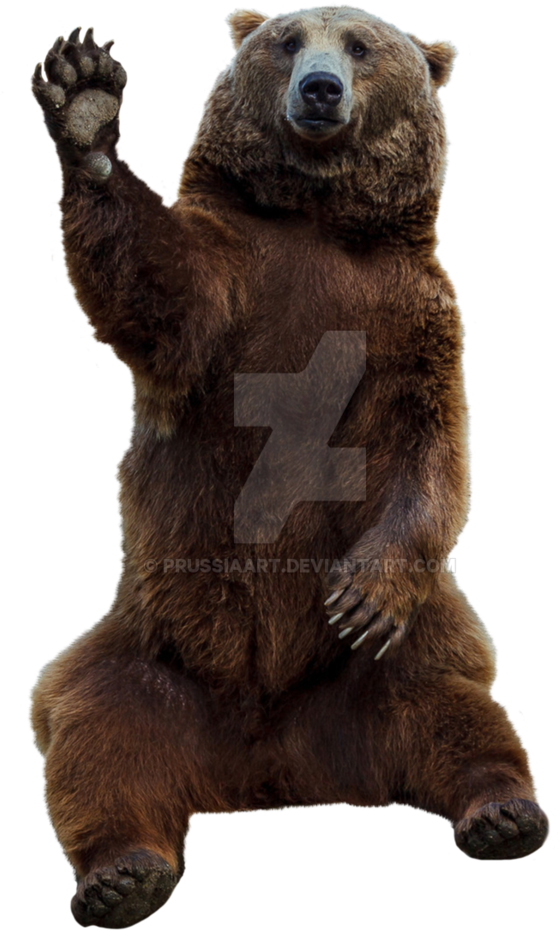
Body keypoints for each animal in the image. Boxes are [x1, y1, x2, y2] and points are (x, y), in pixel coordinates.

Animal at [29, 6, 550, 928]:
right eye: (287, 39)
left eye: (362, 46)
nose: (320, 89)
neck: (320, 221)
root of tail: (271, 771)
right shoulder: (237, 285)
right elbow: (160, 293)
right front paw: (85, 100)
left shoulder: (414, 312)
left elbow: (433, 445)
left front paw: (365, 594)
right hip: (150, 651)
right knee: (101, 731)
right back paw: (124, 876)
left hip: (382, 666)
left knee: (449, 703)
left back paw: (504, 813)